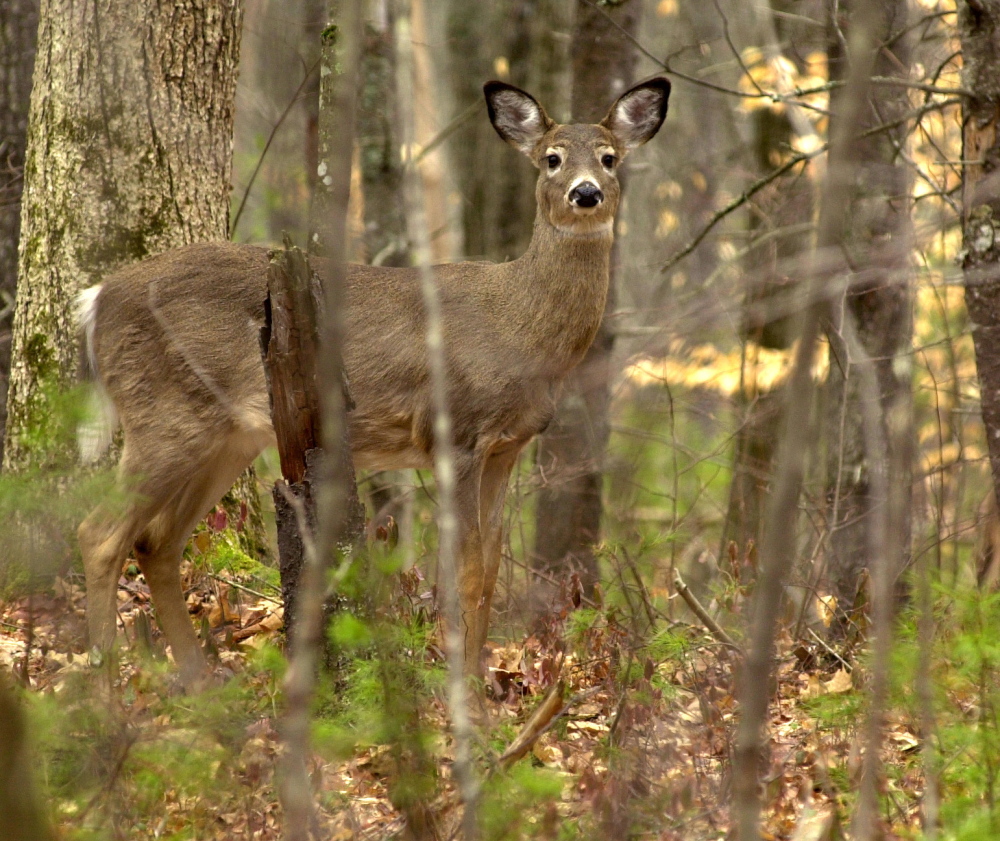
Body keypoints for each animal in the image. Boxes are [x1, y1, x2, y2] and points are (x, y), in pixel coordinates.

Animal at [78, 77, 668, 688]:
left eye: (609, 158)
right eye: (552, 158)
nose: (586, 193)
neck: (519, 326)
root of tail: (95, 300)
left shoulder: (507, 446)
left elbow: (487, 573)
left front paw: (481, 689)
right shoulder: (456, 432)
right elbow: (463, 572)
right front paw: (466, 695)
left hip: (227, 435)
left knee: (155, 542)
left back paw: (199, 685)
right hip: (164, 416)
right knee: (99, 534)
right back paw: (105, 688)